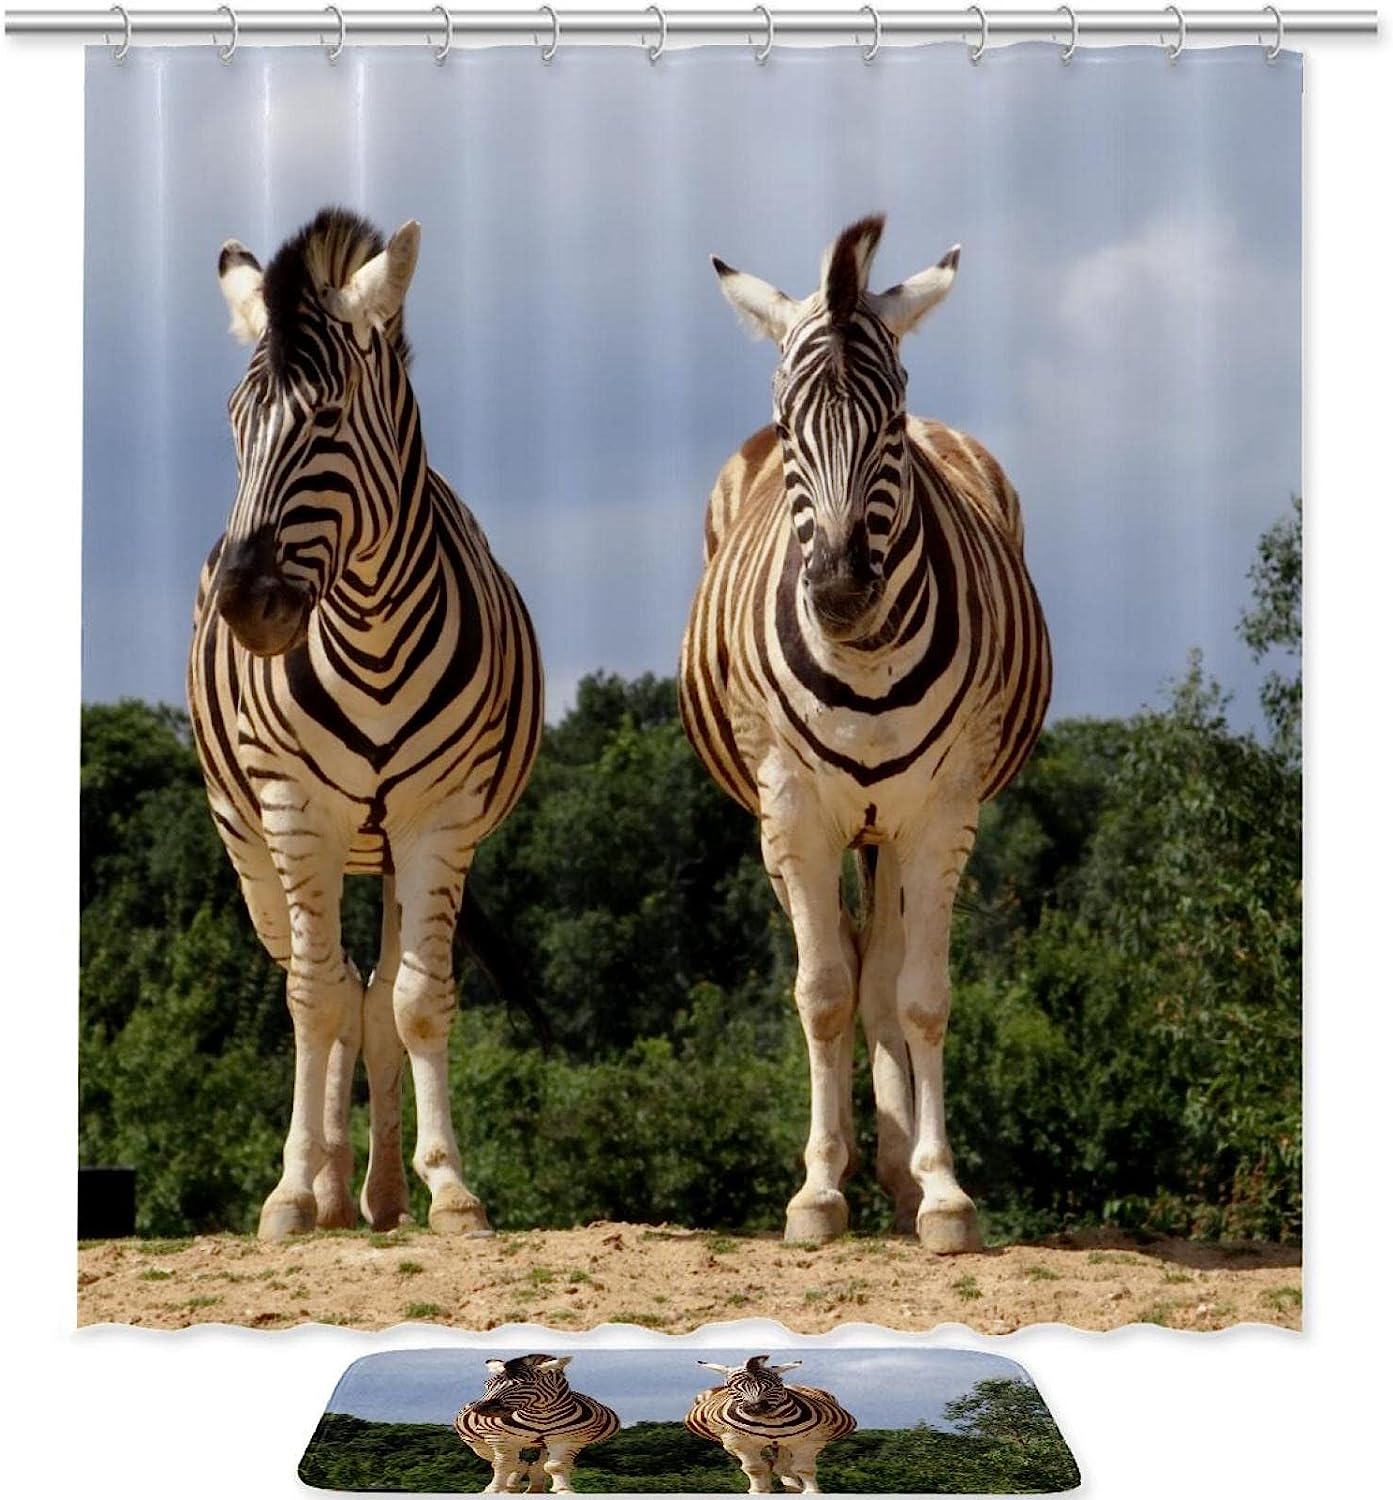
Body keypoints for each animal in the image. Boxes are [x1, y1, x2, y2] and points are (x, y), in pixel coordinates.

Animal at [188, 207, 543, 1241]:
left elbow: (417, 1002)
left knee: (376, 995)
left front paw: (450, 1189)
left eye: (328, 420)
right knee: (332, 988)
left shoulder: (441, 817)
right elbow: (313, 1002)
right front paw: (287, 1192)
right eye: (236, 424)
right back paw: (325, 1188)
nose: (247, 606)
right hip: (253, 845)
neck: (373, 633)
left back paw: (377, 1193)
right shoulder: (295, 814)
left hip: (386, 848)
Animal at [454, 1354, 620, 1494]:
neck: (541, 1416)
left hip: (546, 1444)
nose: (479, 1408)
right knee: (511, 1462)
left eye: (521, 1384)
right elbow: (503, 1464)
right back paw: (510, 1487)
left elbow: (555, 1466)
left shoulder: (567, 1440)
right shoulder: (500, 1439)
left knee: (537, 1465)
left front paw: (564, 1490)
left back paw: (534, 1489)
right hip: (479, 1446)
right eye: (487, 1385)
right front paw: (493, 1490)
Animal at [679, 215, 1051, 1252]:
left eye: (889, 425)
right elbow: (823, 994)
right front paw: (816, 1190)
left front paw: (942, 1191)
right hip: (791, 825)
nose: (841, 591)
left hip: (890, 826)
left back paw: (896, 1171)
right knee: (848, 971)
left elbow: (918, 997)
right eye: (787, 428)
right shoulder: (792, 813)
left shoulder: (943, 813)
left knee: (884, 974)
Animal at [686, 1354, 856, 1494]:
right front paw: (759, 1491)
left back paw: (792, 1489)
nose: (755, 1408)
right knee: (771, 1466)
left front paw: (811, 1492)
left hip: (783, 1443)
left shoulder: (808, 1441)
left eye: (776, 1384)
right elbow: (755, 1469)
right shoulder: (739, 1442)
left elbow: (805, 1469)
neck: (770, 1423)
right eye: (731, 1387)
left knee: (782, 1467)